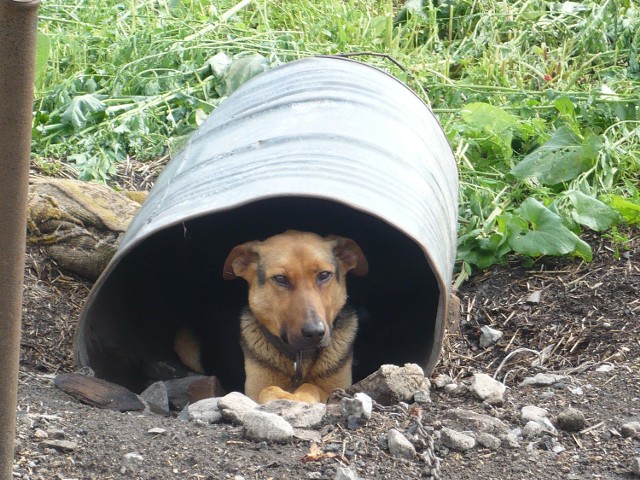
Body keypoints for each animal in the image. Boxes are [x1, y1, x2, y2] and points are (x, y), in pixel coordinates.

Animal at [175, 231, 368, 404]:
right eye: (280, 279)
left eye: (324, 275)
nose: (315, 333)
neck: (299, 358)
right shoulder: (255, 386)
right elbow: (268, 389)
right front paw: (282, 396)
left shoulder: (337, 385)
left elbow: (312, 386)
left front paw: (299, 395)